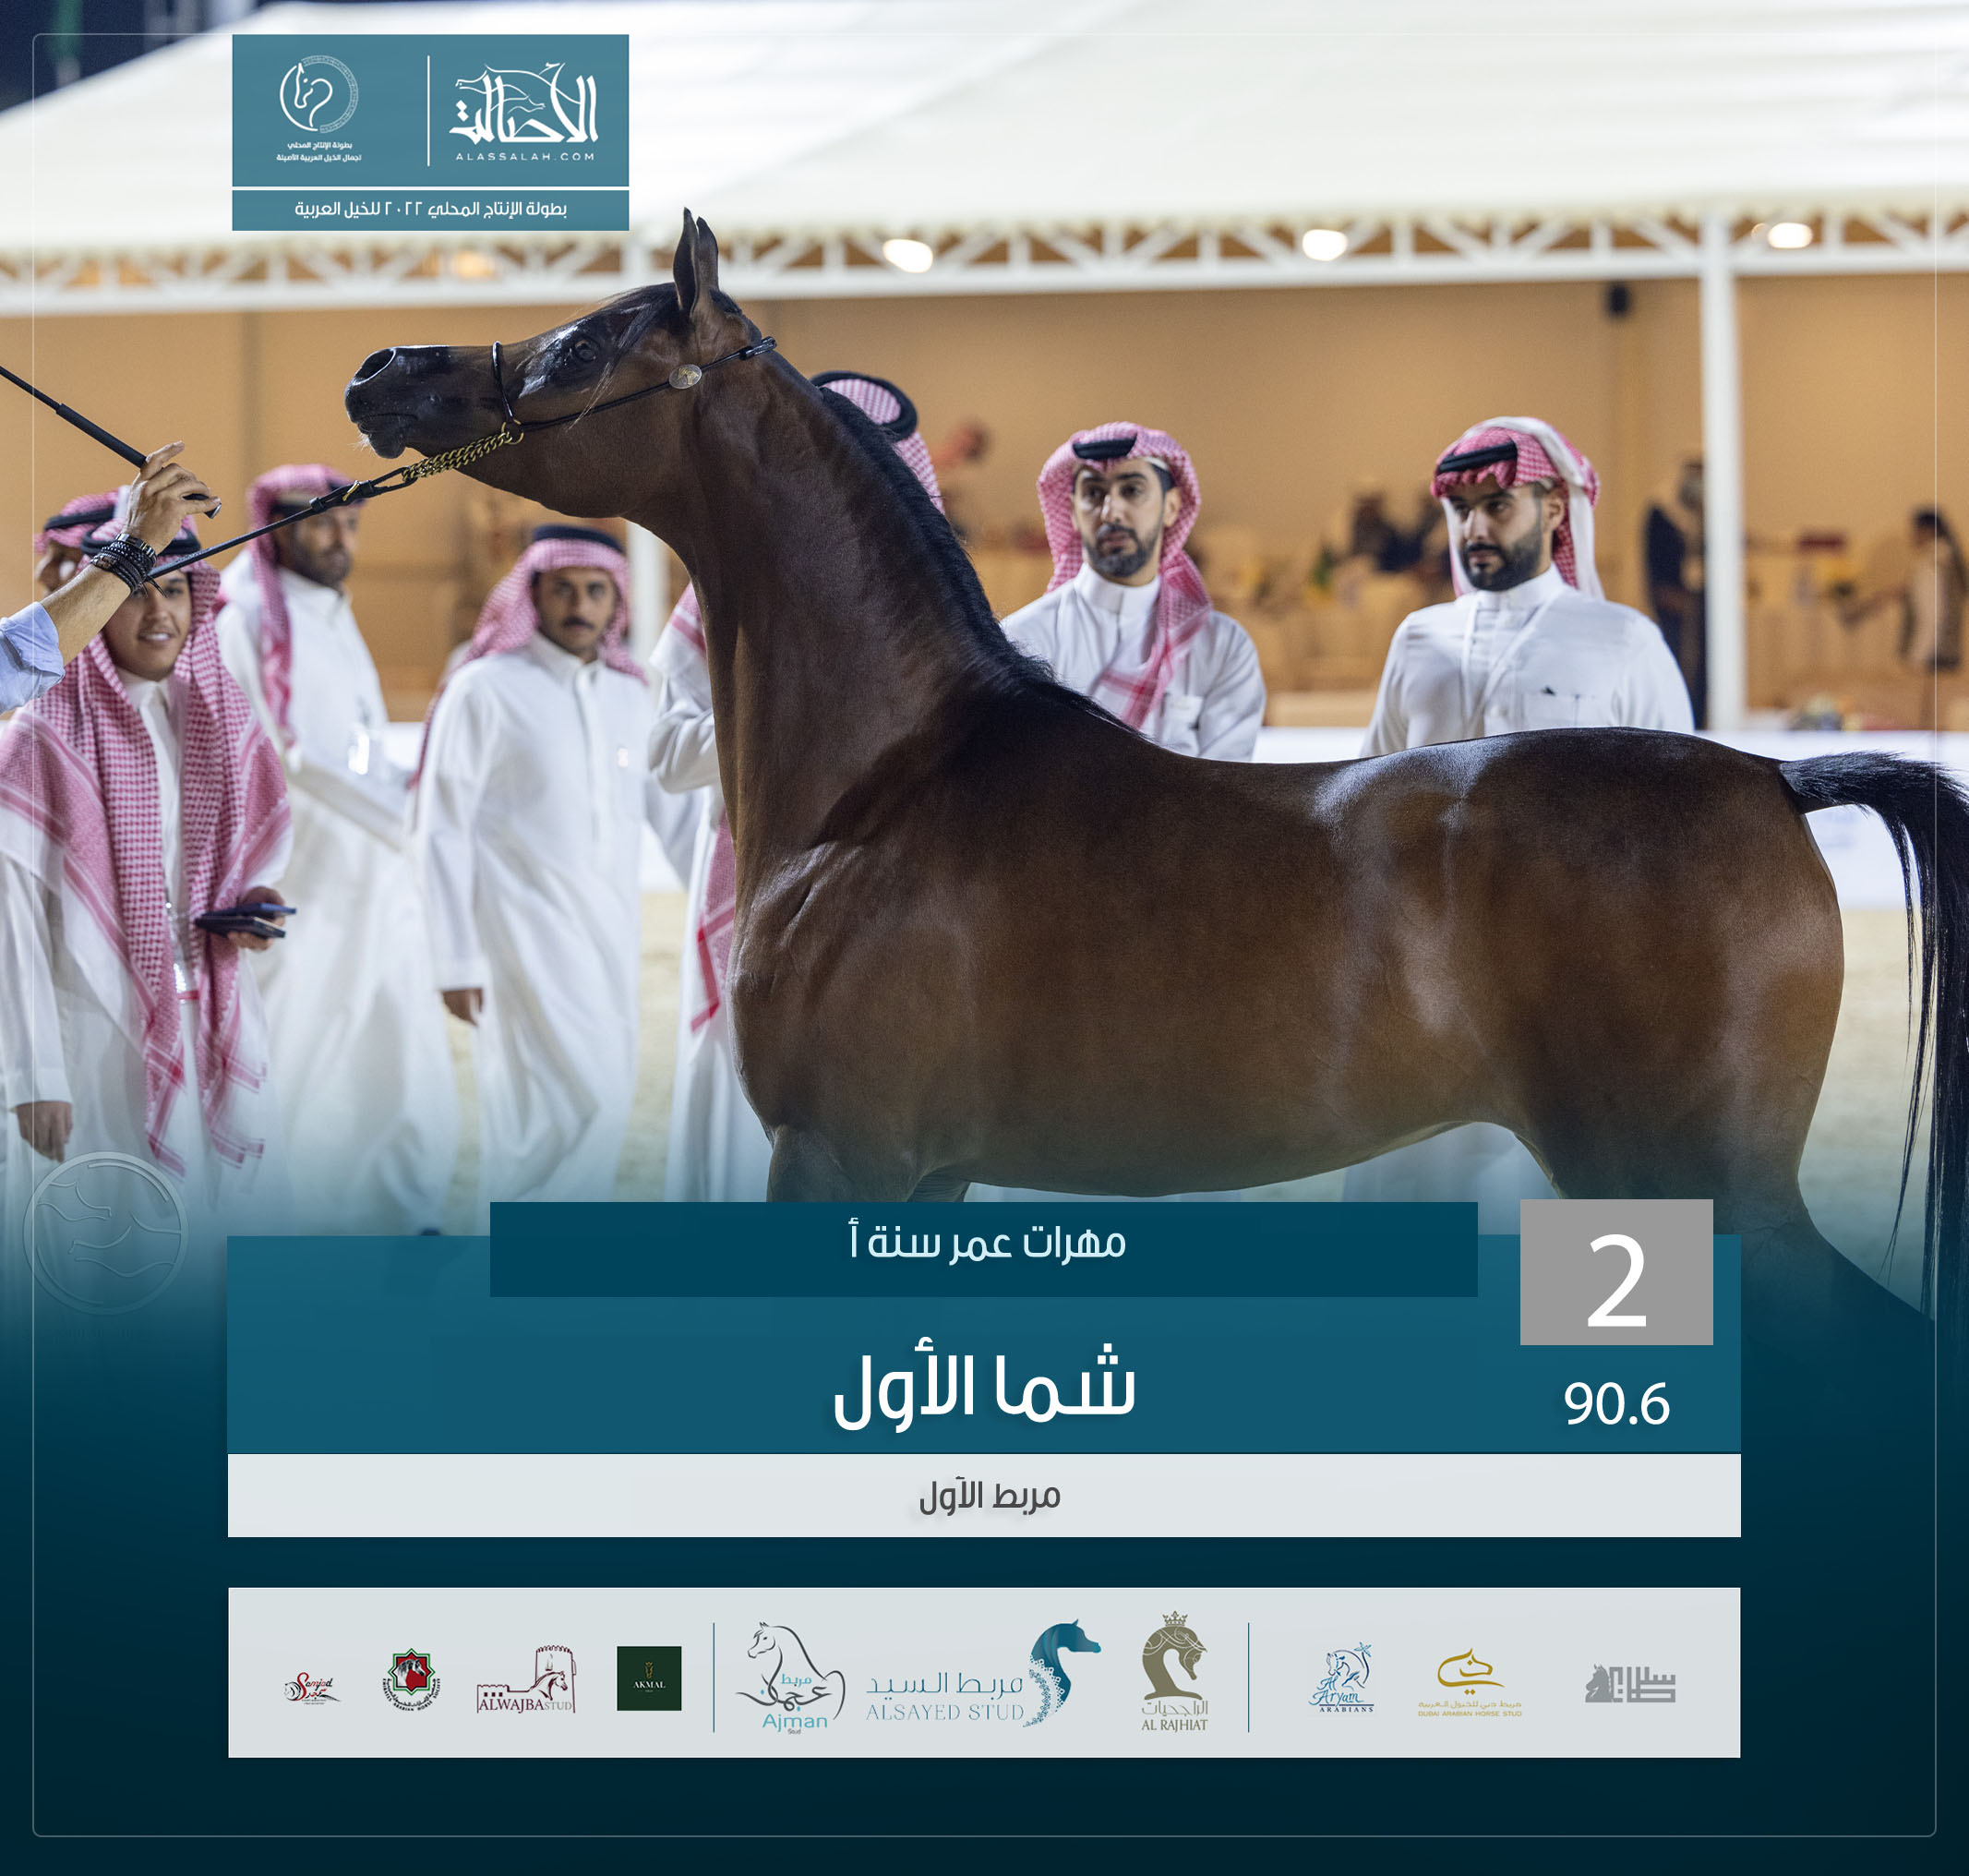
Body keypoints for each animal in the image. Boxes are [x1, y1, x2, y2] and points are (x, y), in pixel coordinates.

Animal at [344, 210, 1968, 1350]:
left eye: (579, 346)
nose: (380, 369)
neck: (889, 785)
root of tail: (1772, 780)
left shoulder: (836, 1157)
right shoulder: (924, 1177)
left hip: (1697, 1190)